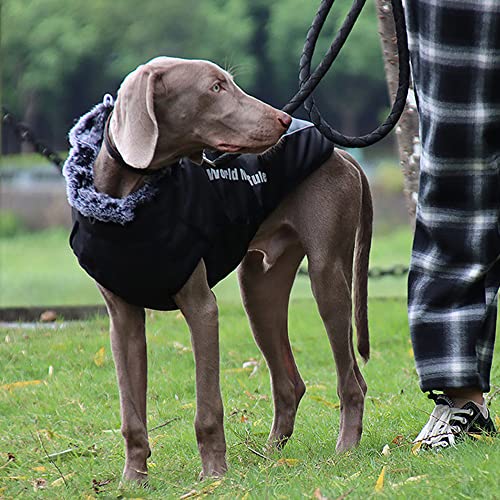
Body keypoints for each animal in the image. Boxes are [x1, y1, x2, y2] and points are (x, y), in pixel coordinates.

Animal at [63, 56, 372, 482]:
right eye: (215, 88)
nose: (283, 120)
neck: (131, 198)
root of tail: (343, 155)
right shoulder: (122, 318)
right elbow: (131, 414)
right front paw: (133, 479)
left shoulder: (201, 308)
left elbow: (208, 407)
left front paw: (214, 475)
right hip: (258, 288)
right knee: (290, 383)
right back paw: (270, 454)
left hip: (328, 275)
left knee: (351, 380)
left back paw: (345, 448)